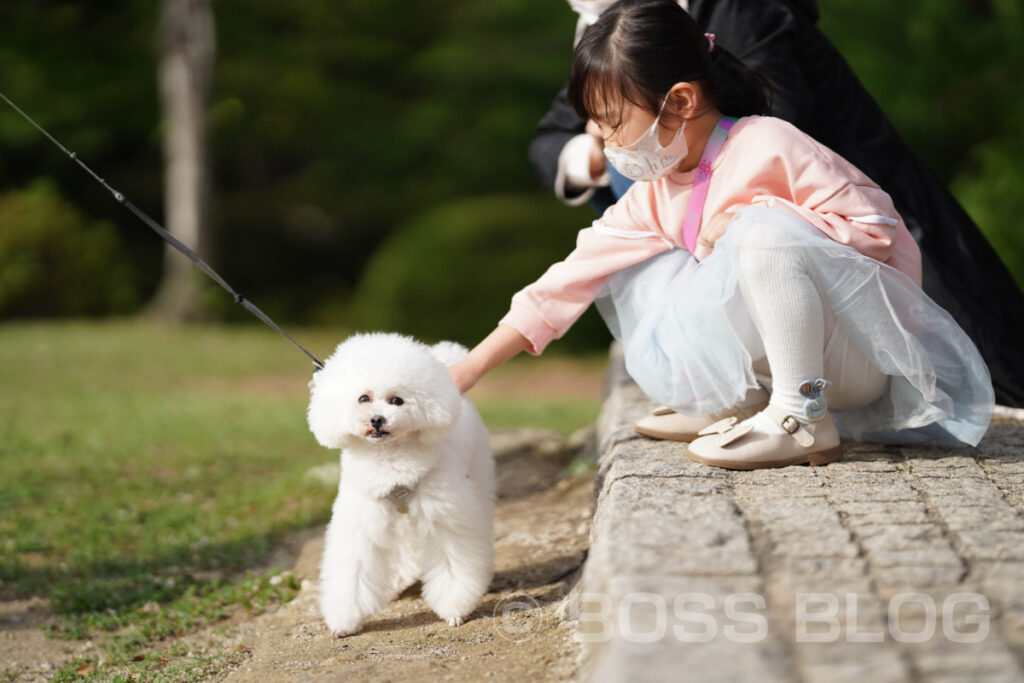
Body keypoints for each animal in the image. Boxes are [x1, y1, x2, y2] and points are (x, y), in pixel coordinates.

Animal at [305, 333, 493, 638]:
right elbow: (353, 571)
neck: (390, 459)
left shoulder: (443, 516)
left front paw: (454, 608)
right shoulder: (362, 522)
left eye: (397, 400)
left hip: (478, 475)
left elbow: (452, 562)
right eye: (363, 398)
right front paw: (345, 621)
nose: (377, 419)